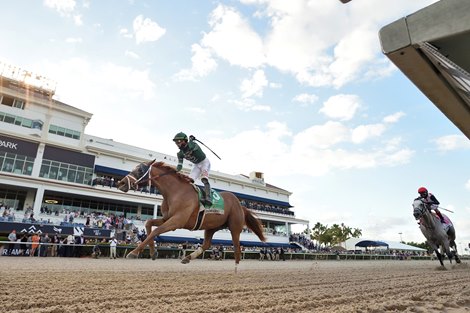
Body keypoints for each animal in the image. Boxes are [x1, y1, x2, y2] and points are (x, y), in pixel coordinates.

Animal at [116, 160, 266, 270]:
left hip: (234, 227)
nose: (121, 182)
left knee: (237, 248)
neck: (175, 191)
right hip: (211, 226)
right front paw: (153, 252)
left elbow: (156, 231)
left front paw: (133, 252)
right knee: (206, 244)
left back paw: (236, 269)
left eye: (140, 170)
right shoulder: (167, 218)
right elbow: (148, 224)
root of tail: (240, 204)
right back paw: (187, 258)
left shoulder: (176, 221)